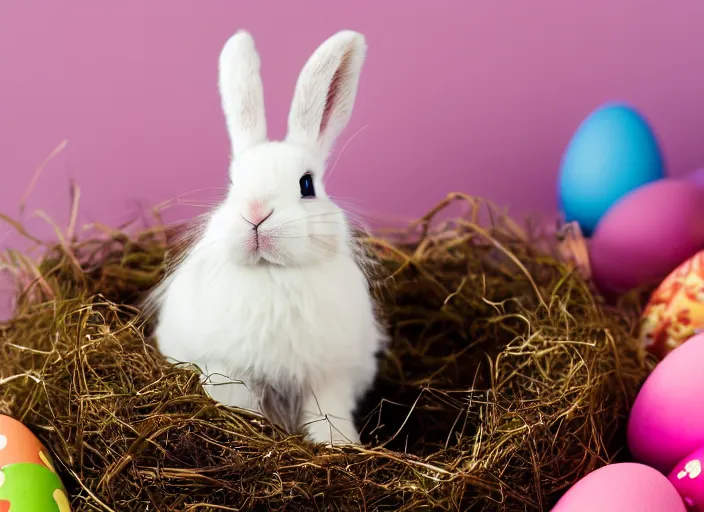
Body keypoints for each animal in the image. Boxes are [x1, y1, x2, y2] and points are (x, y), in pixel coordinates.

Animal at [146, 29, 388, 444]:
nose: (256, 212)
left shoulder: (328, 378)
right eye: (232, 183)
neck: (271, 272)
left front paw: (338, 445)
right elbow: (240, 404)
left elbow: (328, 415)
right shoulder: (229, 371)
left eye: (307, 184)